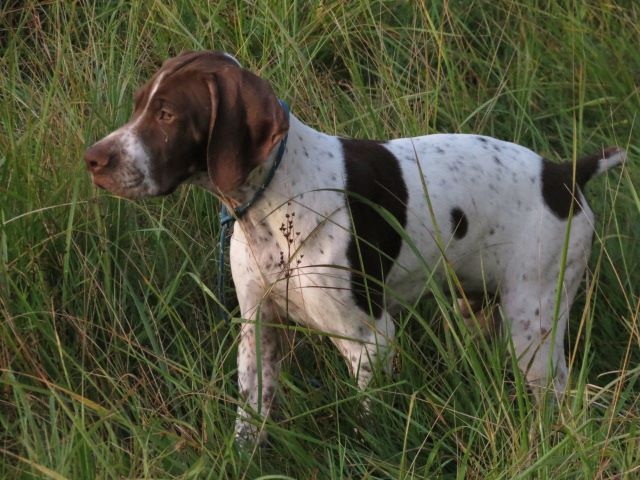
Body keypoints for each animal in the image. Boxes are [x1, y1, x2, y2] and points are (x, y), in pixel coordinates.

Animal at [84, 50, 625, 444]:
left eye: (167, 114)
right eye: (139, 105)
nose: (93, 159)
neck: (278, 197)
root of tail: (565, 173)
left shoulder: (370, 341)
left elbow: (369, 422)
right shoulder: (258, 327)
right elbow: (249, 417)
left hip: (533, 326)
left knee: (558, 392)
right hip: (478, 306)